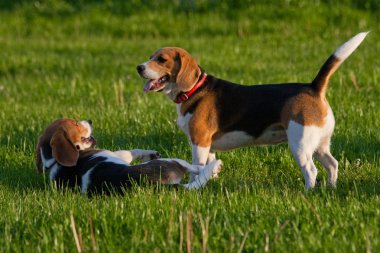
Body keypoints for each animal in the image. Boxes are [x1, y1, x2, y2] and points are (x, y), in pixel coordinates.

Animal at [36, 119, 223, 195]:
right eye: (75, 123)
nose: (90, 120)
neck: (54, 161)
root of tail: (147, 185)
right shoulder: (111, 154)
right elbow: (128, 152)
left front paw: (150, 153)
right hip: (172, 161)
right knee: (194, 168)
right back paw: (213, 167)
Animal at [137, 32, 368, 189]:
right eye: (150, 56)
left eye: (161, 60)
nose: (139, 67)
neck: (194, 90)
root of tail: (313, 87)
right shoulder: (209, 147)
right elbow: (209, 167)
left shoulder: (199, 143)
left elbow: (197, 168)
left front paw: (196, 184)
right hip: (319, 144)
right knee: (332, 164)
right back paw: (330, 188)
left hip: (300, 144)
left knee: (311, 171)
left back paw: (307, 193)